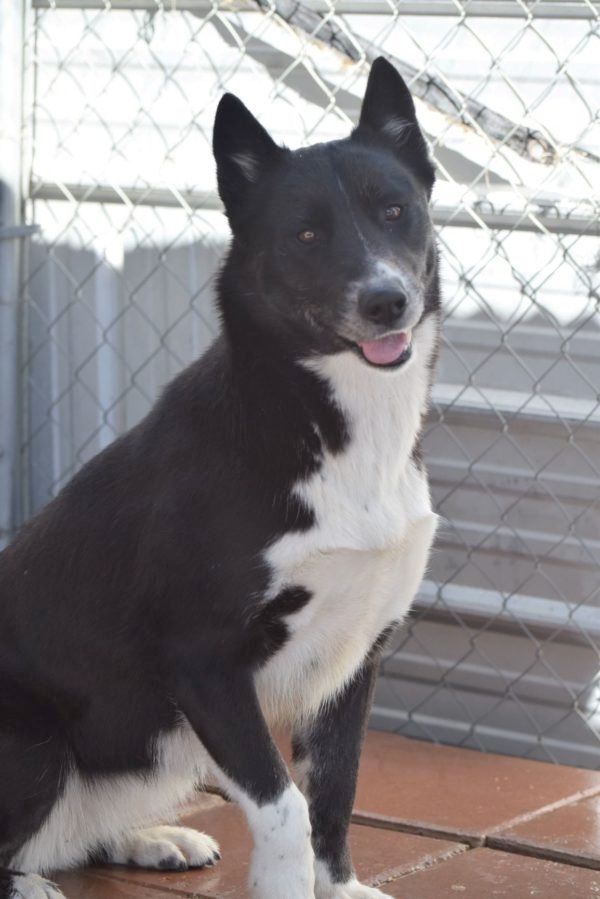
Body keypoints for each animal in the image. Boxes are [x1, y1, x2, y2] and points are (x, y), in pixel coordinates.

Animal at [0, 58, 440, 899]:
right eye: (305, 234)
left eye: (396, 210)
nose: (387, 300)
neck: (316, 426)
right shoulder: (204, 664)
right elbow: (285, 807)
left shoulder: (353, 662)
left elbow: (336, 792)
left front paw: (337, 887)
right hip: (37, 740)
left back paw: (147, 837)